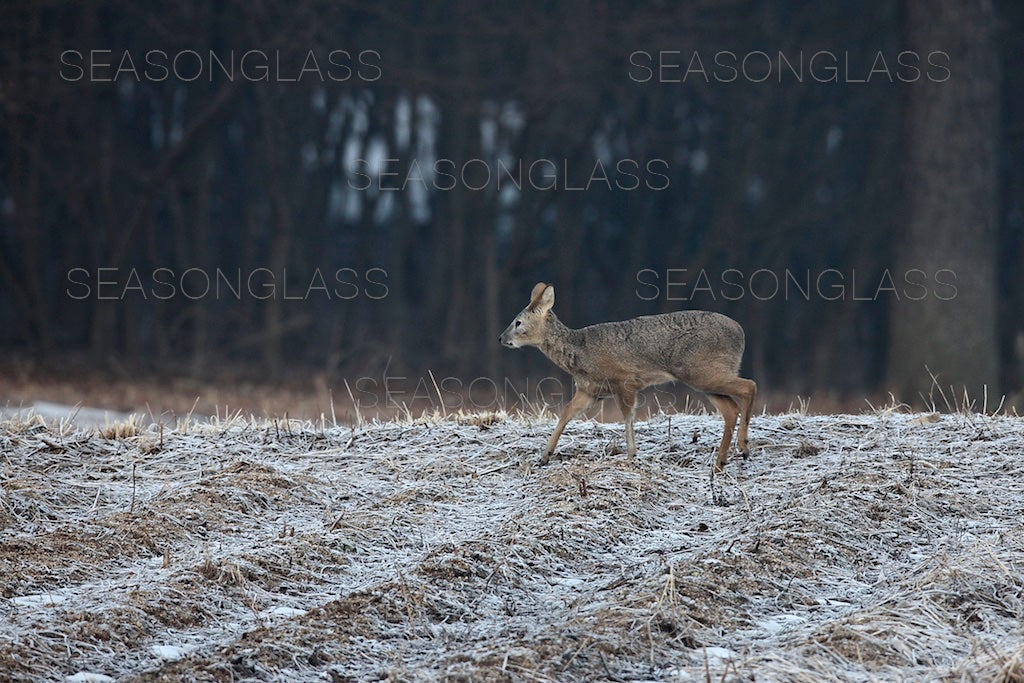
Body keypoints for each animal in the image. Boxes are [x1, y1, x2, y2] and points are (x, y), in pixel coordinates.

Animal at [499, 282, 757, 471]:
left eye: (518, 322)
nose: (501, 338)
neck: (581, 353)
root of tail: (741, 332)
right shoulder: (590, 390)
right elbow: (566, 412)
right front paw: (545, 456)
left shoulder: (625, 381)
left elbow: (628, 416)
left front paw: (632, 454)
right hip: (704, 377)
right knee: (730, 409)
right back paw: (721, 462)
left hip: (703, 371)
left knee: (749, 386)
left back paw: (743, 447)